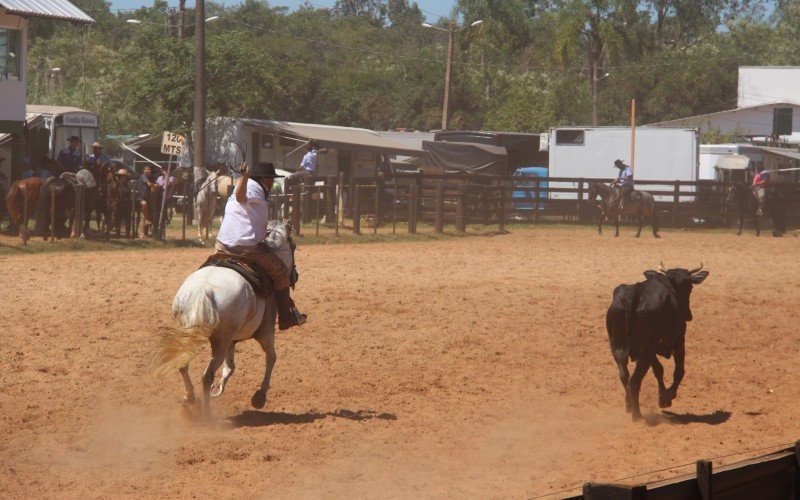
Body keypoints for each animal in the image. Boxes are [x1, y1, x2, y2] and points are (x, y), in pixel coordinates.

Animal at [153, 221, 296, 416]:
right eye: (294, 247)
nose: (295, 276)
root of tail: (202, 291)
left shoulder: (232, 340)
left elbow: (230, 367)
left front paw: (219, 387)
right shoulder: (265, 332)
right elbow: (271, 358)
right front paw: (260, 396)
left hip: (191, 335)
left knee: (183, 364)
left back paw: (190, 398)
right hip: (220, 341)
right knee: (207, 375)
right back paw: (206, 414)